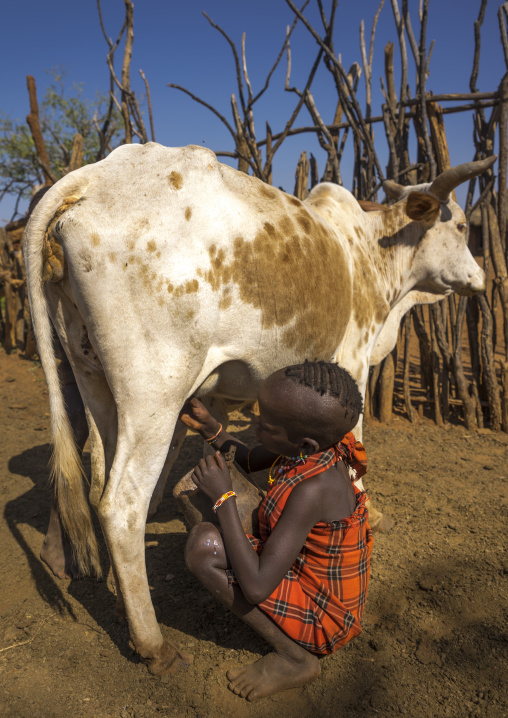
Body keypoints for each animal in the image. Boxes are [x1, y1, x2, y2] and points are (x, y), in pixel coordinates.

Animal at [23, 143, 494, 676]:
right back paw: (152, 643)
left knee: (95, 470)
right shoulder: (351, 360)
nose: (480, 279)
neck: (372, 255)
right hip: (154, 392)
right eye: (462, 226)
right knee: (120, 505)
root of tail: (92, 177)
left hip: (91, 376)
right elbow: (354, 445)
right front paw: (368, 511)